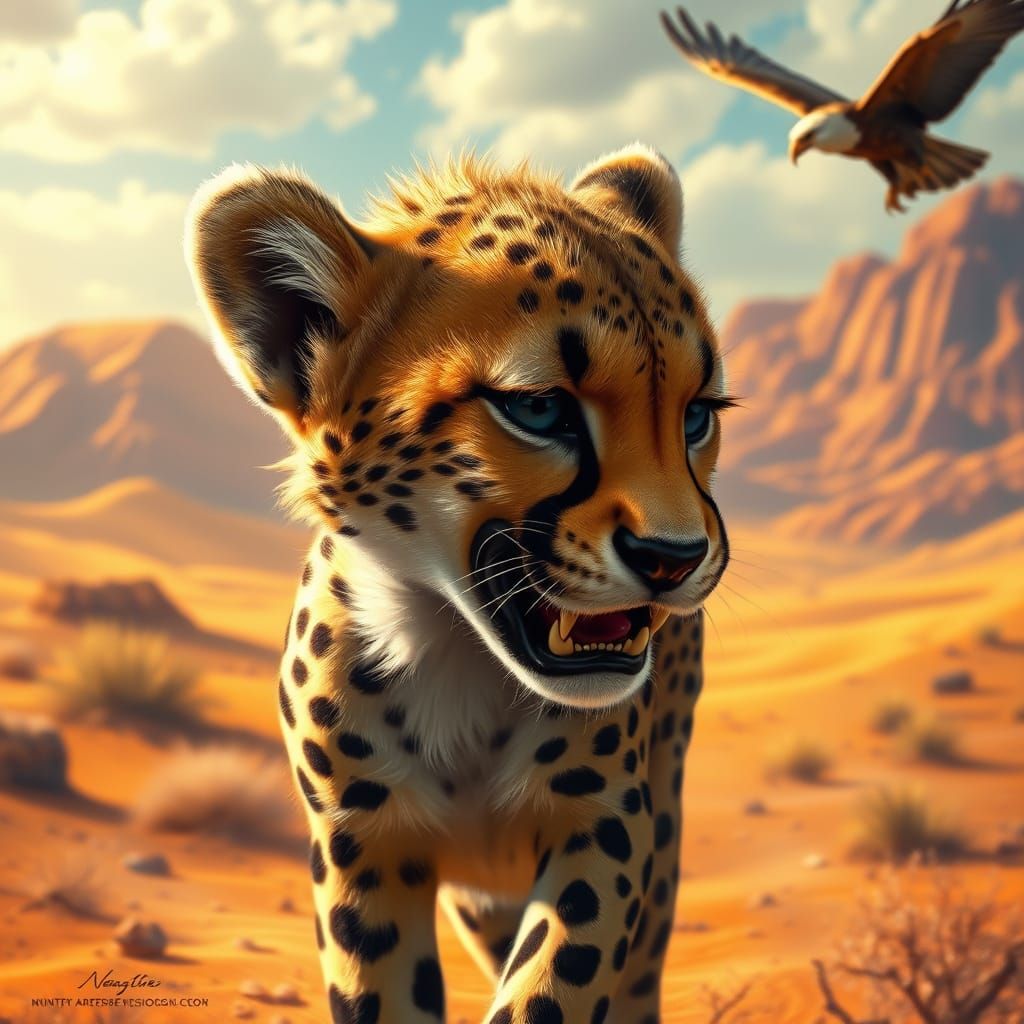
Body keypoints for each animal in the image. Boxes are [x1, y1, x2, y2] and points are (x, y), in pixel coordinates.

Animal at [185, 142, 731, 1024]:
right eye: (538, 409)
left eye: (697, 415)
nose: (674, 557)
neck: (457, 653)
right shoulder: (364, 844)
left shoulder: (608, 828)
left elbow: (551, 988)